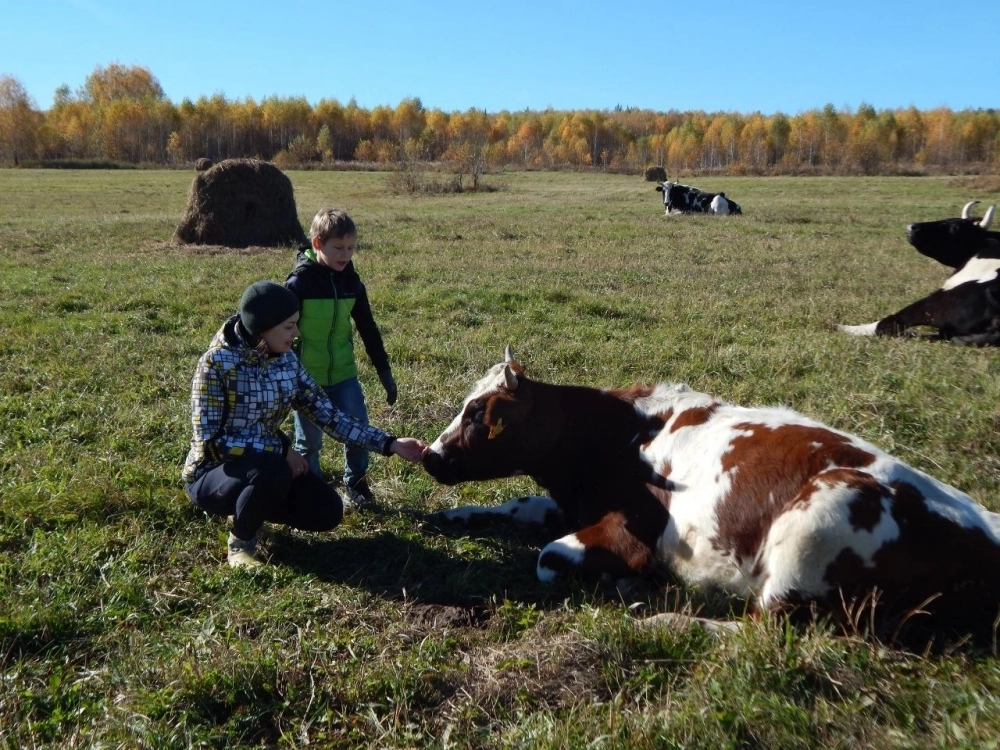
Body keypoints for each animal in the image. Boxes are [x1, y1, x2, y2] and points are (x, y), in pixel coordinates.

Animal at [426, 348, 1000, 640]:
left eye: (477, 415)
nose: (430, 456)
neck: (611, 436)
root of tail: (984, 529)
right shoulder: (574, 501)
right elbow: (516, 505)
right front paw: (452, 516)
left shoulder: (631, 532)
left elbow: (547, 558)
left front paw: (626, 584)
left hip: (813, 531)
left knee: (763, 634)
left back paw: (659, 615)